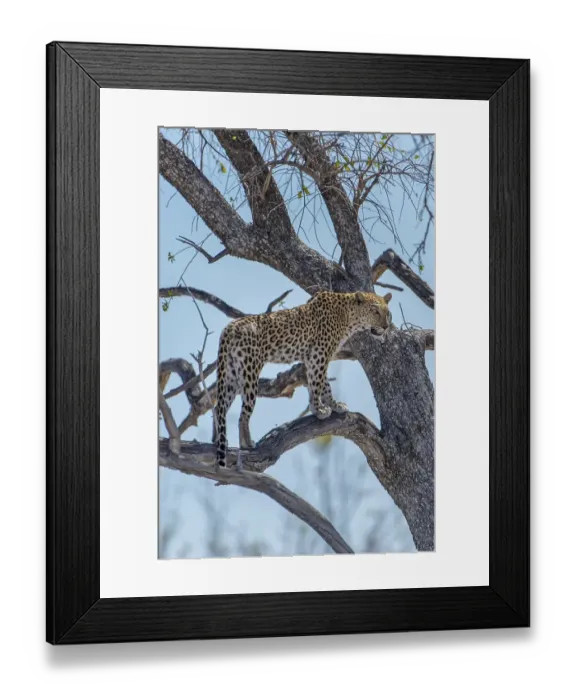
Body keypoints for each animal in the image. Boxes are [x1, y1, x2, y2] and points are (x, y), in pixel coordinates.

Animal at [211, 290, 393, 470]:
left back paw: (219, 441)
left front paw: (333, 405)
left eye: (387, 313)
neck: (349, 317)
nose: (385, 327)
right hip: (249, 370)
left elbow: (323, 384)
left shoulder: (313, 357)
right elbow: (318, 383)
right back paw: (246, 444)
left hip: (231, 373)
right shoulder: (319, 354)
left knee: (218, 408)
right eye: (375, 311)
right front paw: (319, 410)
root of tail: (229, 328)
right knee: (243, 413)